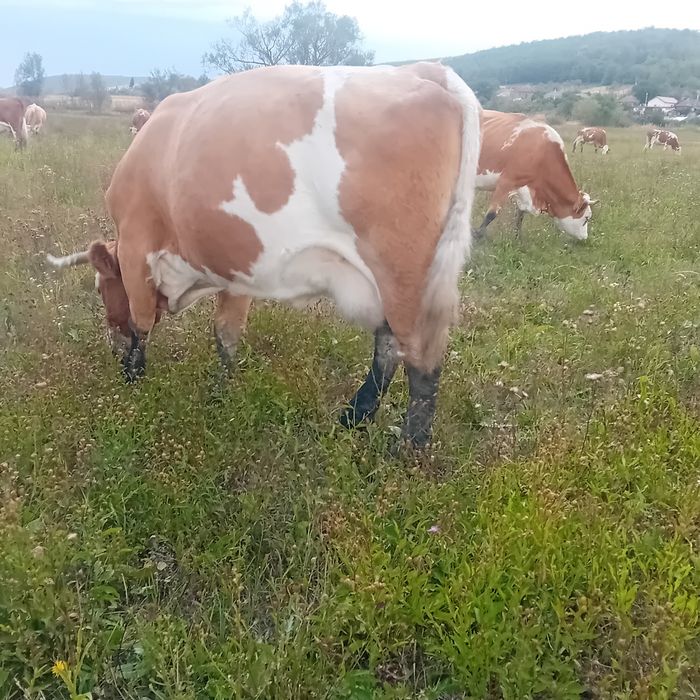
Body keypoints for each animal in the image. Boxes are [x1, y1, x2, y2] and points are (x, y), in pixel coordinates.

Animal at [47, 63, 481, 449]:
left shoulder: (138, 246)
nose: (111, 347)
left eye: (101, 288)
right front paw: (222, 393)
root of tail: (429, 71)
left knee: (421, 359)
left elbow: (141, 323)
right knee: (388, 347)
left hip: (404, 274)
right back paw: (354, 417)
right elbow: (226, 333)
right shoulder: (236, 261)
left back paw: (409, 449)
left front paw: (134, 376)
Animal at [474, 110, 597, 239]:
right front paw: (477, 235)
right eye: (586, 218)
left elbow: (520, 214)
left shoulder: (524, 189)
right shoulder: (506, 182)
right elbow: (491, 214)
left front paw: (517, 237)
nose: (585, 237)